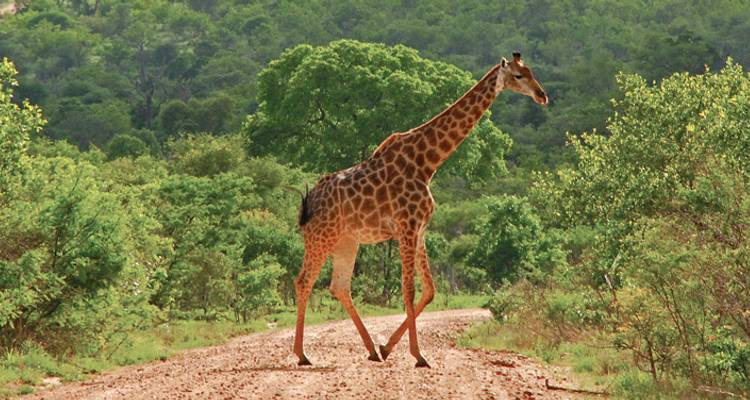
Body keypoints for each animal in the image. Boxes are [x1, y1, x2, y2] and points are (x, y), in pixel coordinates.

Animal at [293, 52, 547, 368]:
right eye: (518, 76)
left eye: (532, 71)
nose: (542, 95)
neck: (427, 163)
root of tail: (308, 201)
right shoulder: (407, 226)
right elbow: (409, 289)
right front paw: (418, 355)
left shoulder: (421, 228)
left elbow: (429, 289)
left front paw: (388, 347)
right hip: (321, 237)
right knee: (304, 281)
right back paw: (302, 354)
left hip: (346, 241)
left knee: (339, 286)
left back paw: (371, 350)